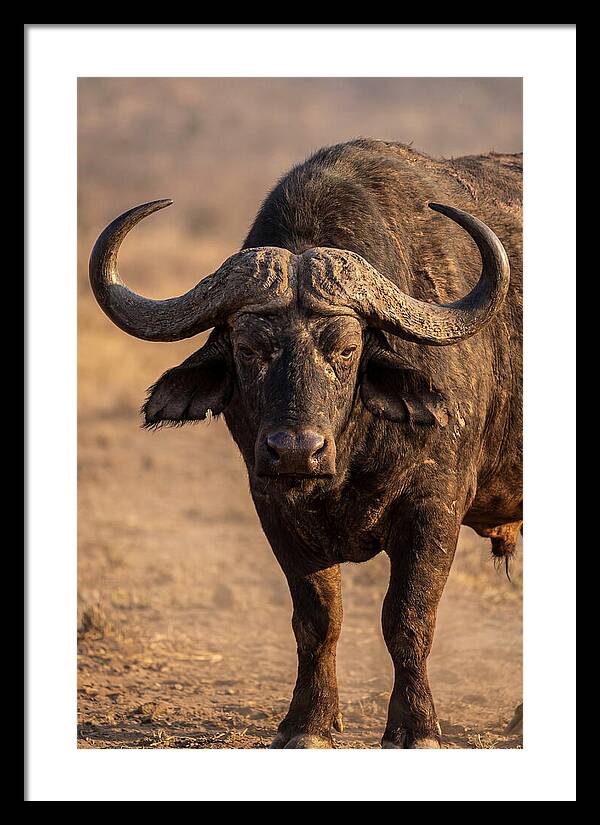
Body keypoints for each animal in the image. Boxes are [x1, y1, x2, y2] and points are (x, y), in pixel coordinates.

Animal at [89, 139, 522, 749]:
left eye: (346, 348)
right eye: (249, 347)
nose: (295, 450)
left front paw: (416, 727)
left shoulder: (434, 509)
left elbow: (408, 618)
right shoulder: (273, 507)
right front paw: (309, 724)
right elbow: (317, 620)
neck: (348, 457)